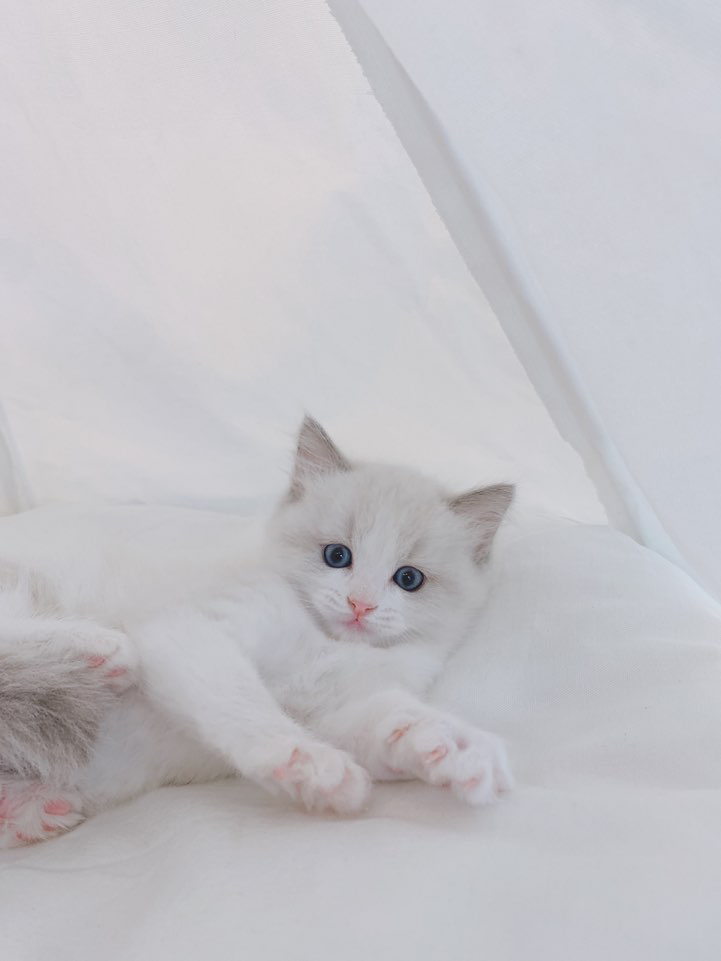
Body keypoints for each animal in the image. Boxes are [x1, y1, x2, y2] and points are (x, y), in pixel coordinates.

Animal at [0, 417, 514, 847]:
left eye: (408, 579)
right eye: (337, 556)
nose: (360, 605)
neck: (325, 645)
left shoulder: (339, 709)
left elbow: (400, 721)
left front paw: (463, 750)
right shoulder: (189, 630)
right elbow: (248, 707)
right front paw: (314, 766)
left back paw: (26, 808)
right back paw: (95, 651)